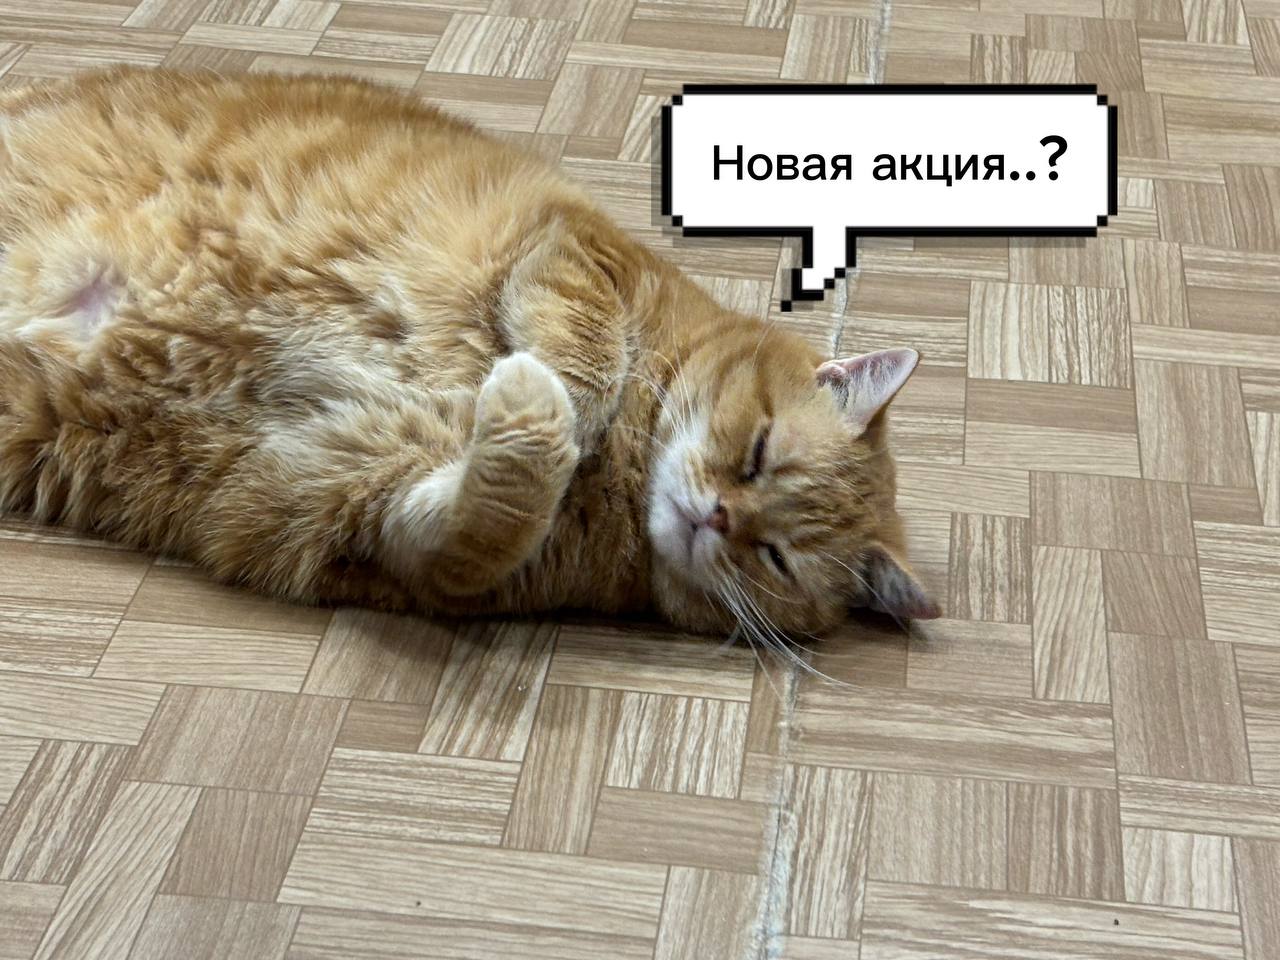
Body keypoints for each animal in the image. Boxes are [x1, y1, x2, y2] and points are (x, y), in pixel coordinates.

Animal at [0, 67, 939, 648]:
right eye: (758, 453)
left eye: (774, 556)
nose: (715, 517)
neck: (627, 479)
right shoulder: (571, 247)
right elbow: (587, 363)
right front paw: (564, 405)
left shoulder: (380, 527)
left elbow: (496, 509)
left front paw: (523, 422)